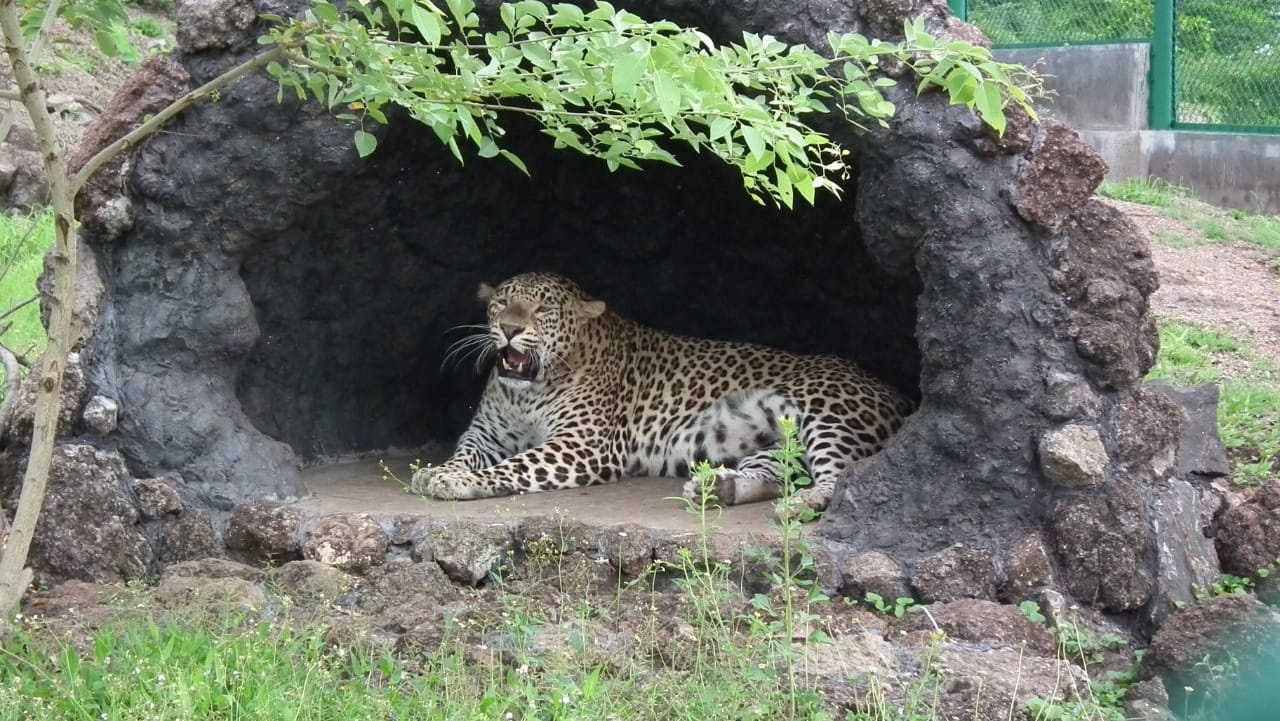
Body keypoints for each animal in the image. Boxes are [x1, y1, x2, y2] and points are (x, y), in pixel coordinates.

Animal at [409, 272, 911, 512]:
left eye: (543, 309)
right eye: (501, 303)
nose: (510, 329)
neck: (527, 391)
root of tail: (896, 389)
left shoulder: (583, 446)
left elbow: (518, 465)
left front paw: (462, 483)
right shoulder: (487, 435)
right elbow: (465, 452)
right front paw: (440, 471)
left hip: (826, 416)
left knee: (833, 478)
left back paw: (798, 505)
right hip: (777, 441)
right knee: (777, 471)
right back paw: (722, 488)